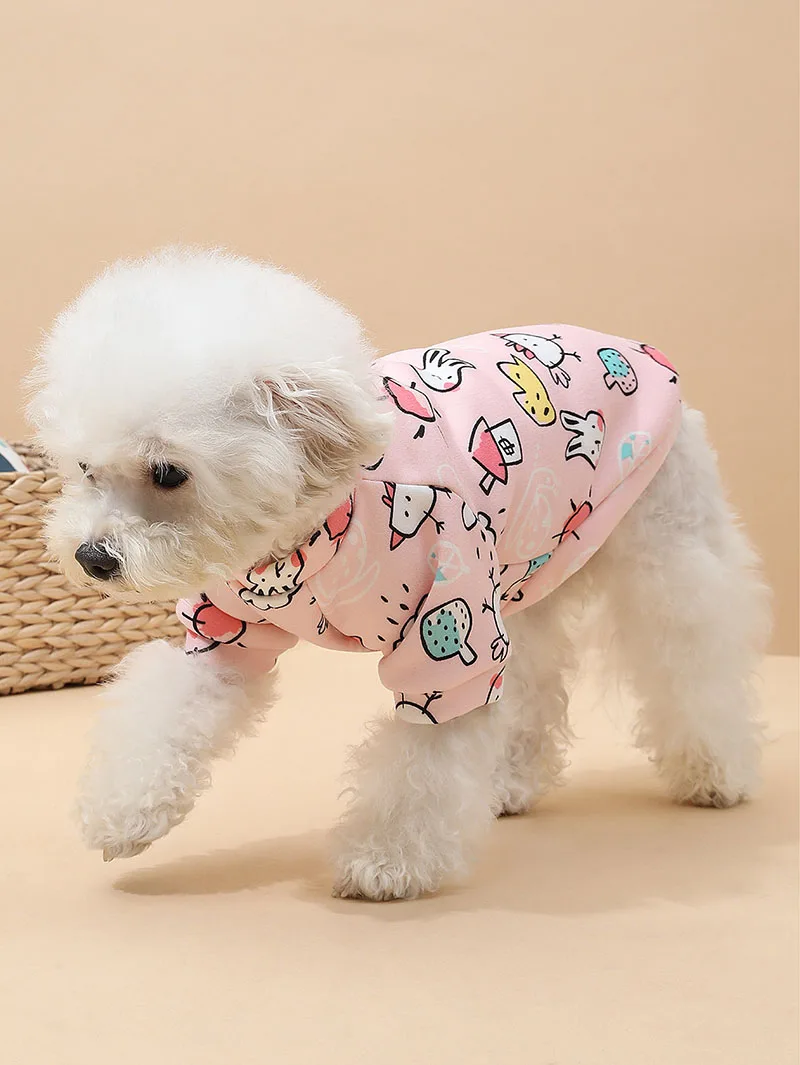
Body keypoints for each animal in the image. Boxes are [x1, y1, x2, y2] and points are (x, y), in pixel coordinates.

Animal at [27, 246, 769, 900]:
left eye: (168, 472)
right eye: (86, 467)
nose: (93, 558)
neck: (315, 536)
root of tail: (636, 348)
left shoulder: (448, 623)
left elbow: (425, 760)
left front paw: (387, 860)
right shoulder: (228, 629)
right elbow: (167, 711)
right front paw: (122, 812)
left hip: (665, 549)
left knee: (693, 657)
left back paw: (717, 770)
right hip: (523, 575)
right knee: (532, 681)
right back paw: (509, 780)